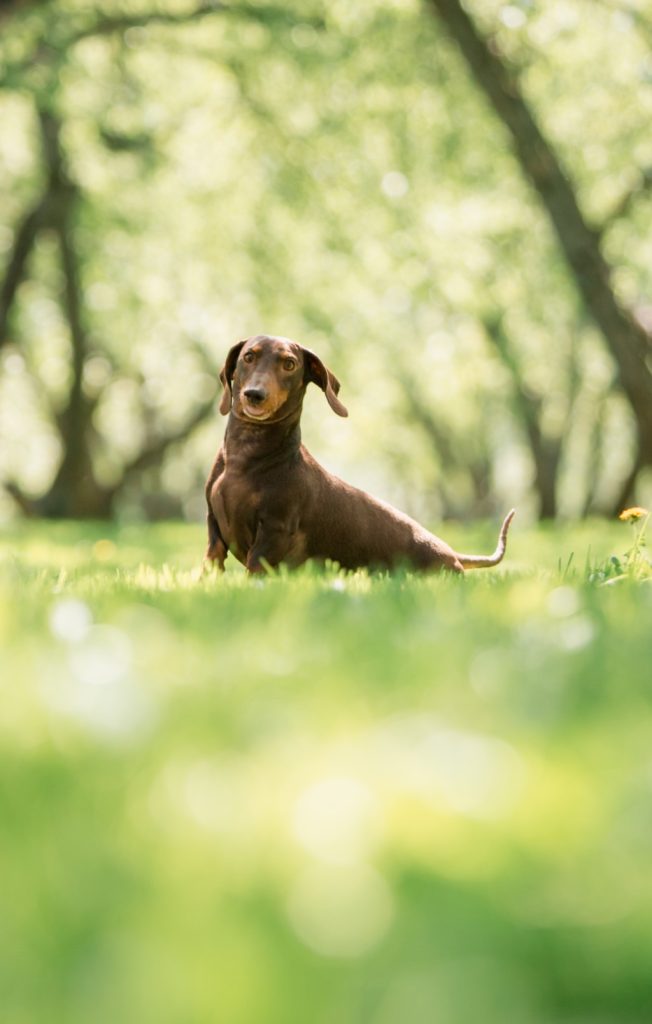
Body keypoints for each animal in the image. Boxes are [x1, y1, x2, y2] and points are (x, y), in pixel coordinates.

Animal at [203, 337, 513, 573]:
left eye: (289, 364)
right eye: (248, 356)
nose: (255, 395)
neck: (247, 455)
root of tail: (452, 554)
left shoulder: (274, 530)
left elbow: (256, 565)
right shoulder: (213, 524)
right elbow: (212, 560)